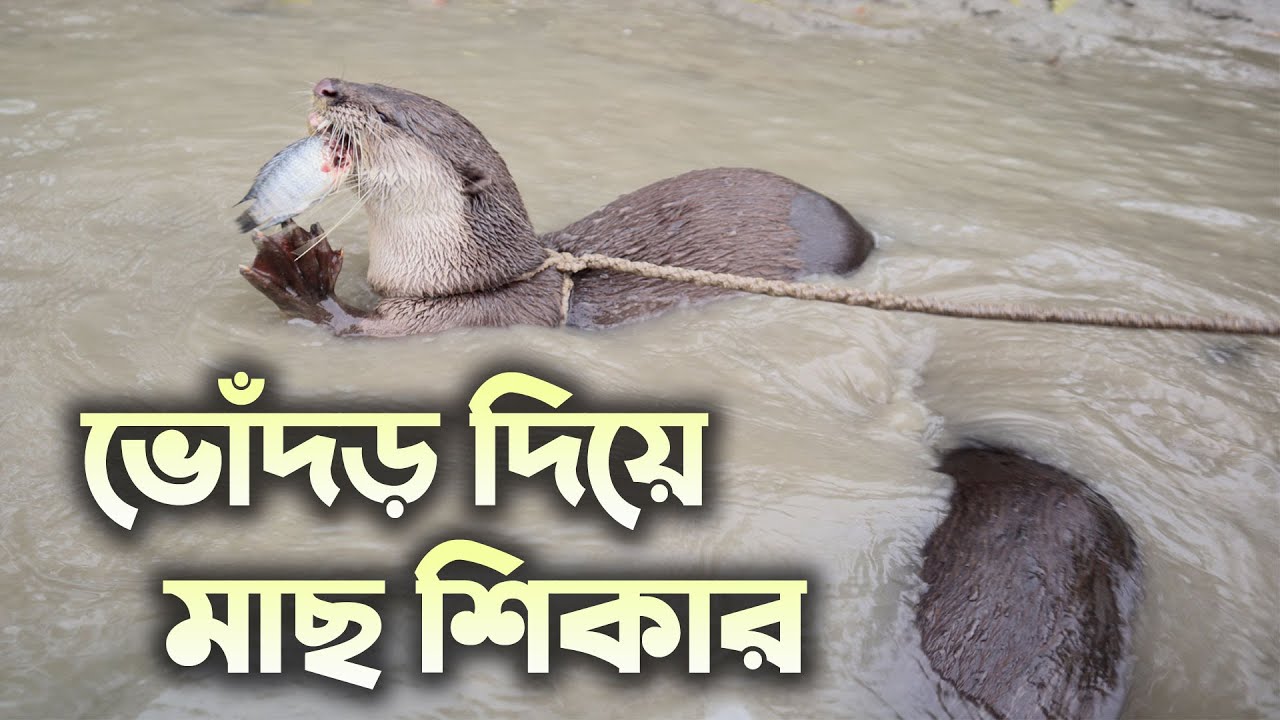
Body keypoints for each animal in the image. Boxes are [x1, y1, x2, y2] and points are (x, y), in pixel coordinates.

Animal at [241, 78, 874, 335]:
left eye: (389, 113)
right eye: (379, 84)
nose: (328, 86)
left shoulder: (470, 316)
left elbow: (346, 325)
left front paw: (301, 277)